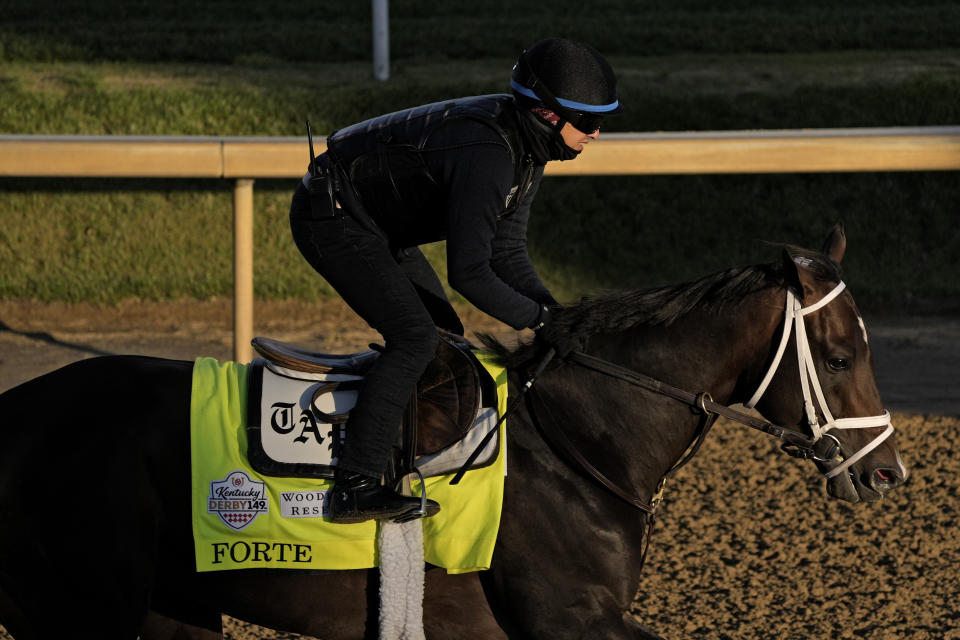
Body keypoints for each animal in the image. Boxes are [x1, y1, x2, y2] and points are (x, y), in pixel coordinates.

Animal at [0, 226, 904, 640]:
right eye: (840, 352)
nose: (887, 473)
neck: (578, 442)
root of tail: (16, 411)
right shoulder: (569, 616)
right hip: (81, 607)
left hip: (172, 606)